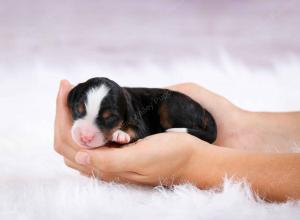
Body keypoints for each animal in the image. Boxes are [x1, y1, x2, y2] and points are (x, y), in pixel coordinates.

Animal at [67, 77, 217, 148]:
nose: (85, 137)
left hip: (171, 105)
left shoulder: (141, 124)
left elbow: (135, 130)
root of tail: (203, 110)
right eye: (78, 109)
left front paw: (120, 134)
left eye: (110, 117)